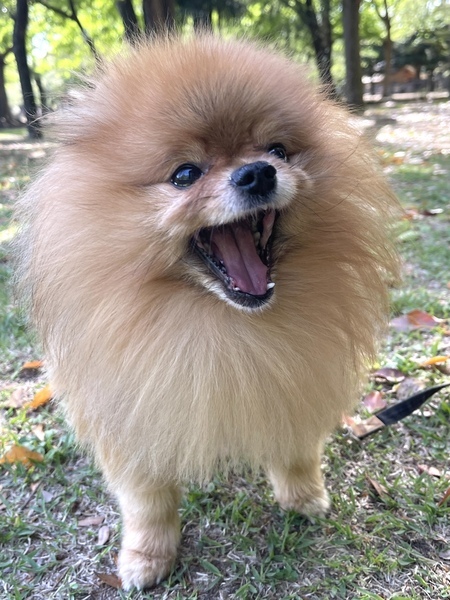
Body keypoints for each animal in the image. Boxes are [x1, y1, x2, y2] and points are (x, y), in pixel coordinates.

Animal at [15, 35, 399, 589]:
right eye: (185, 175)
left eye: (277, 150)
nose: (257, 171)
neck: (225, 323)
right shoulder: (130, 411)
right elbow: (147, 502)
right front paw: (147, 556)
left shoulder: (298, 378)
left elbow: (296, 448)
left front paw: (303, 496)